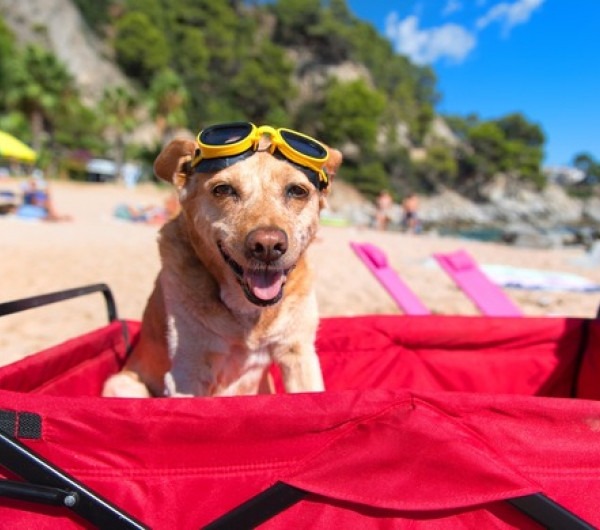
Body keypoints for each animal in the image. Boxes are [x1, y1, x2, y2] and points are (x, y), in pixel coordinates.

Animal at [103, 125, 342, 396]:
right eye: (223, 189)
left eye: (297, 191)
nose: (268, 246)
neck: (249, 313)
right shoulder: (187, 375)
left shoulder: (298, 352)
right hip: (121, 383)